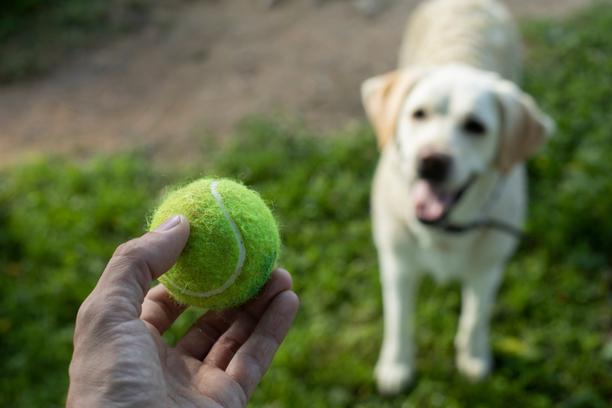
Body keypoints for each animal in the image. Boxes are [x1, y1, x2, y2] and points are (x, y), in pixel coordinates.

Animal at [360, 0, 552, 396]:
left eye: (475, 127)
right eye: (418, 114)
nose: (431, 161)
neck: (444, 230)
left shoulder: (488, 268)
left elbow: (475, 317)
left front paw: (474, 357)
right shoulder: (397, 264)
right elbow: (399, 320)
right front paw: (396, 365)